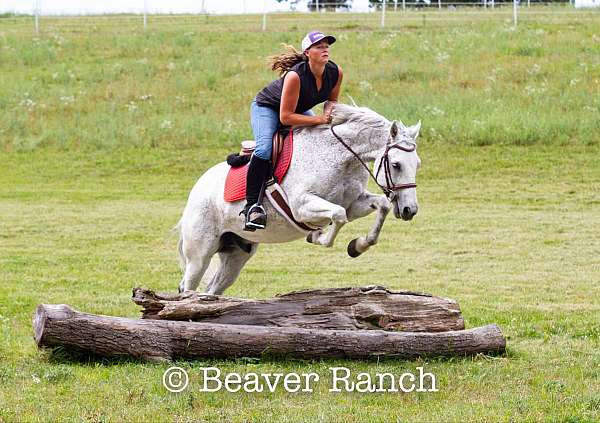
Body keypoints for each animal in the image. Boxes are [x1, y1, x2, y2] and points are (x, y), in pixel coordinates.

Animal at [177, 104, 422, 294]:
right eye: (396, 165)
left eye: (417, 164)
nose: (410, 210)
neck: (342, 158)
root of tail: (195, 191)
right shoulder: (301, 206)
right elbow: (338, 216)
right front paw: (317, 236)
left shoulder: (354, 203)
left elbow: (381, 205)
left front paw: (358, 245)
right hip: (200, 254)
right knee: (188, 286)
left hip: (236, 254)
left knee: (212, 289)